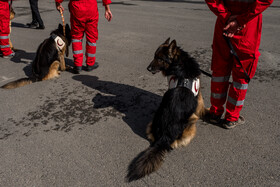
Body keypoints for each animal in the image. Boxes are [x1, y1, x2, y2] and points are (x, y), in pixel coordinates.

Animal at [126, 37, 209, 181]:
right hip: (192, 121)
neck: (179, 62)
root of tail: (165, 137)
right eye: (154, 56)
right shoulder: (198, 100)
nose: (148, 68)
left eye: (159, 58)